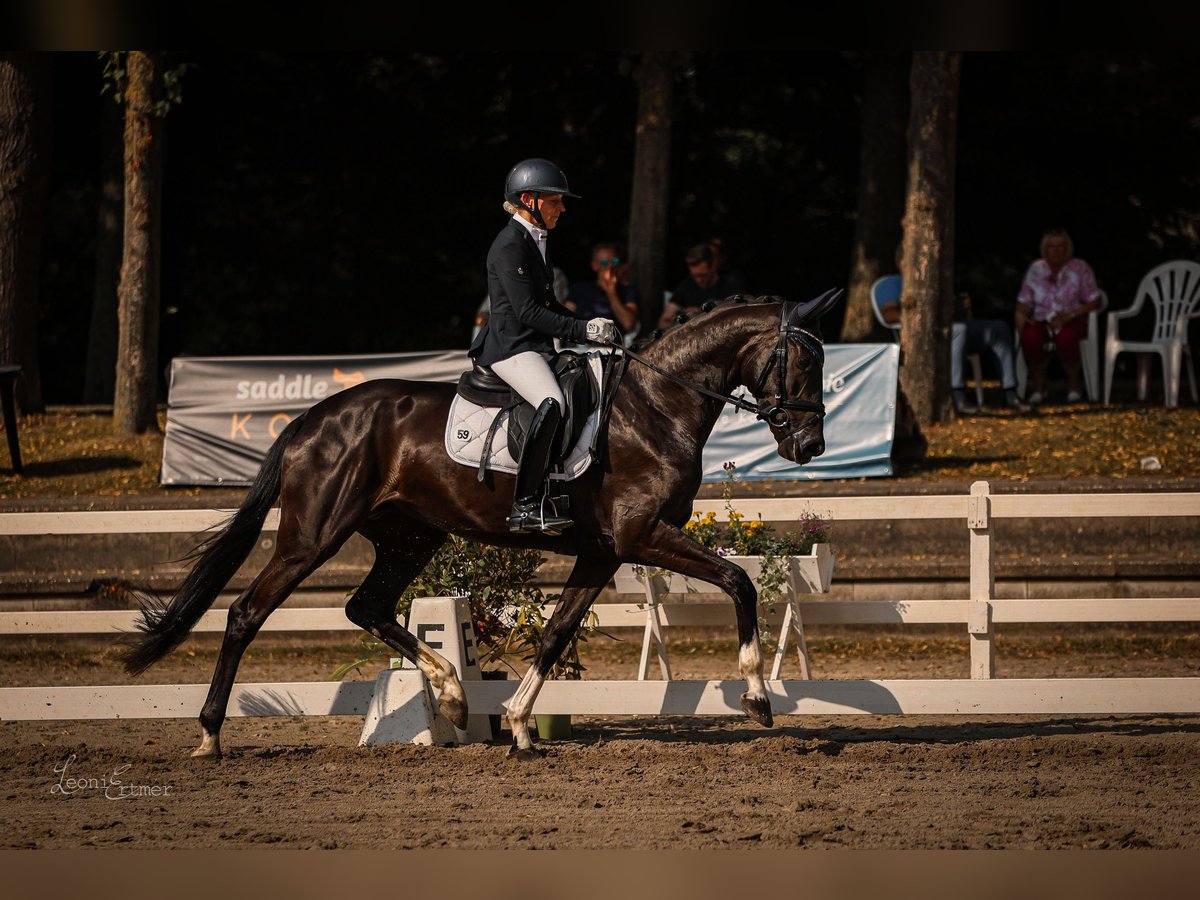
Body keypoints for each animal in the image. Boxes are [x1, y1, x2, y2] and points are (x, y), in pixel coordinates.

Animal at [119, 285, 835, 758]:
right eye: (805, 362)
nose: (809, 447)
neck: (655, 405)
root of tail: (312, 418)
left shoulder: (604, 551)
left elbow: (556, 632)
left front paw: (517, 723)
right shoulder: (642, 536)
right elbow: (739, 581)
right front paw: (758, 698)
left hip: (411, 536)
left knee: (365, 606)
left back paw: (453, 694)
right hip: (312, 536)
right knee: (247, 613)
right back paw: (210, 734)